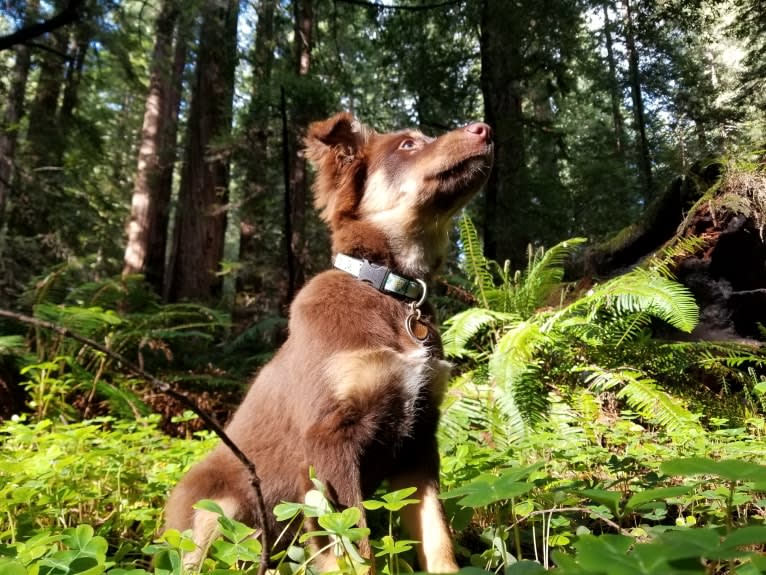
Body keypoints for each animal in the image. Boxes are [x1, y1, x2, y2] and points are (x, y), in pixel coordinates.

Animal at [164, 112, 496, 572]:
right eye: (408, 145)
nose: (485, 129)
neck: (390, 290)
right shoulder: (330, 439)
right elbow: (354, 548)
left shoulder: (419, 440)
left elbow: (437, 539)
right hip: (216, 509)